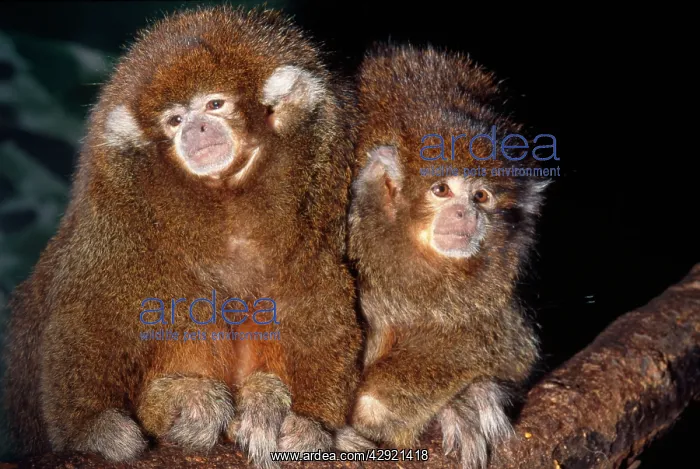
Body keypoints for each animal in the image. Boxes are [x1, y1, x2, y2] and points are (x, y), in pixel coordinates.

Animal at [2, 7, 363, 467]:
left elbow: (314, 295)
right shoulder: (117, 209)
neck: (224, 193)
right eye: (175, 120)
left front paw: (311, 423)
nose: (197, 130)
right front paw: (91, 430)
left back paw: (262, 404)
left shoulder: (319, 187)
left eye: (214, 104)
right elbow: (91, 310)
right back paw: (181, 406)